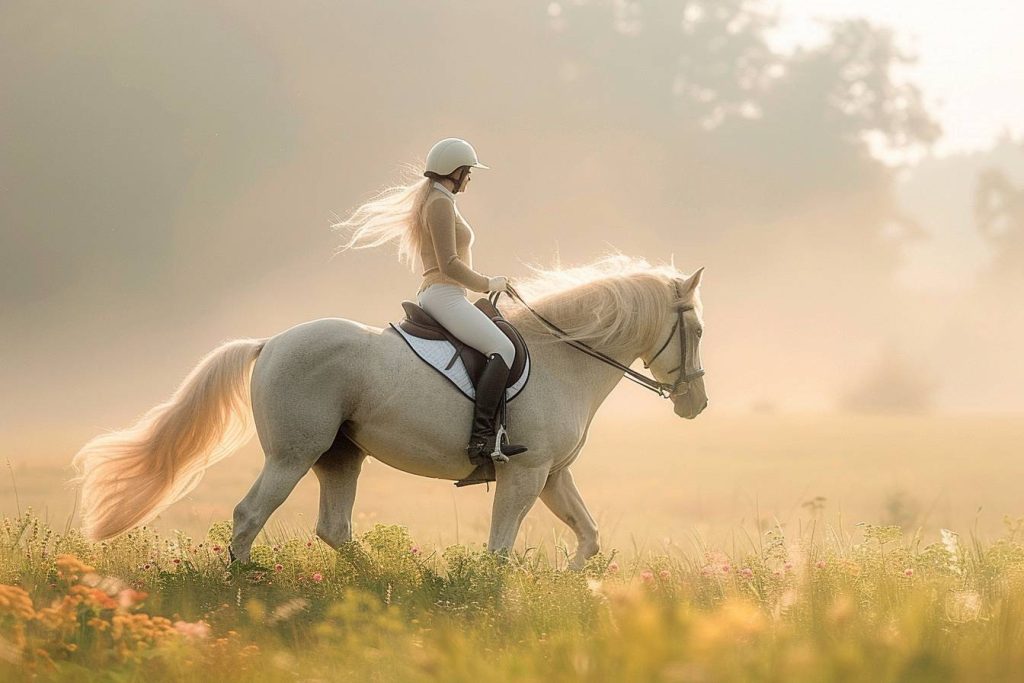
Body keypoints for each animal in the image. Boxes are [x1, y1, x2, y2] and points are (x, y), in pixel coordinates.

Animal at [71, 255, 708, 569]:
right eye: (698, 330)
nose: (696, 405)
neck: (563, 358)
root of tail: (270, 343)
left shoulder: (552, 474)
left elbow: (589, 535)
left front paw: (573, 587)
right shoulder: (524, 474)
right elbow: (500, 550)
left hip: (339, 457)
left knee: (334, 529)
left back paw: (382, 584)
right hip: (292, 456)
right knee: (250, 516)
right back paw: (244, 587)